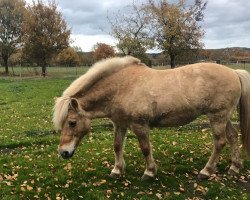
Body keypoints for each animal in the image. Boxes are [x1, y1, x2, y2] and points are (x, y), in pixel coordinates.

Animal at [53, 55, 250, 180]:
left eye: (72, 123)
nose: (63, 153)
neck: (120, 88)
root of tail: (234, 72)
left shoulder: (139, 125)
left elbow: (145, 148)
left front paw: (149, 172)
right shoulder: (120, 124)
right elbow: (117, 146)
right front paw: (117, 170)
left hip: (217, 116)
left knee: (220, 142)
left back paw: (206, 171)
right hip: (223, 117)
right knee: (233, 136)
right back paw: (235, 167)